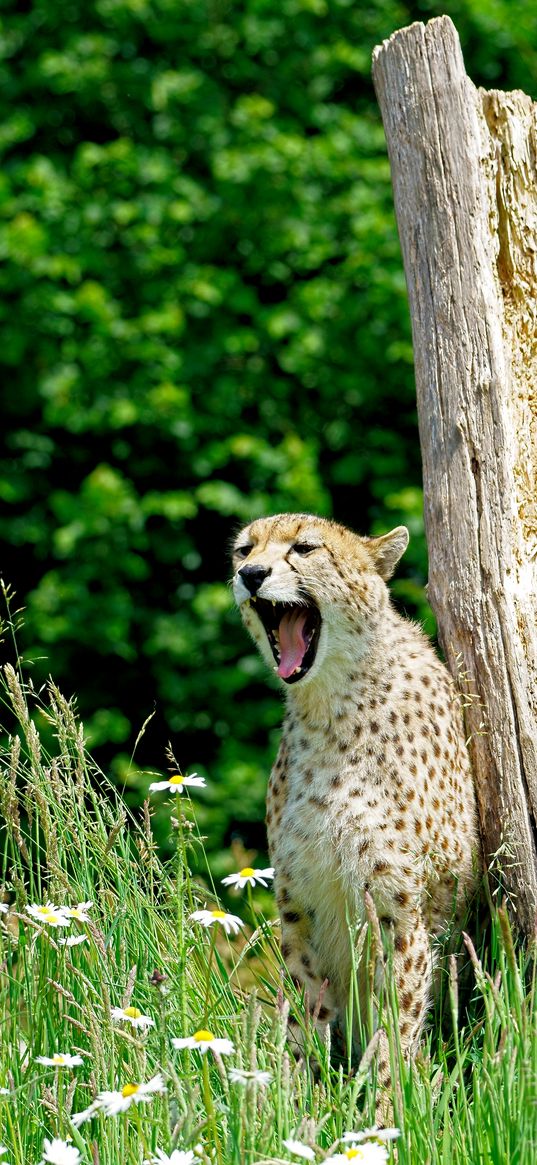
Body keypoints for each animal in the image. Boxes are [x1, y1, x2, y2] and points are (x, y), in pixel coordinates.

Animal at [230, 514, 477, 1085]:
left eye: (304, 548)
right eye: (244, 549)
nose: (250, 575)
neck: (331, 705)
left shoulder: (401, 913)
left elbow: (396, 1028)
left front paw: (390, 1104)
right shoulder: (300, 904)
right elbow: (306, 1014)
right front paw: (297, 1097)